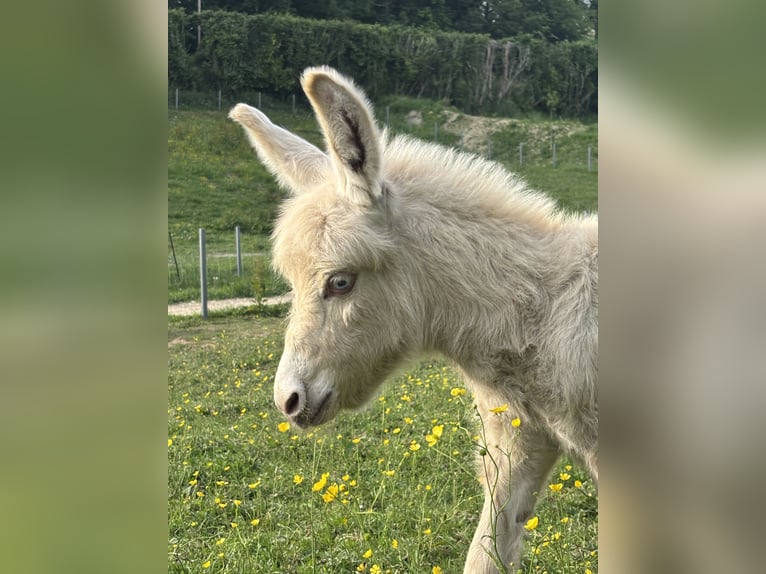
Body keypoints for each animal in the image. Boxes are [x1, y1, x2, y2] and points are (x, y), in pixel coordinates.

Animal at [229, 66, 597, 573]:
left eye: (340, 282)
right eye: (291, 282)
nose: (288, 400)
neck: (542, 314)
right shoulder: (518, 445)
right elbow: (484, 554)